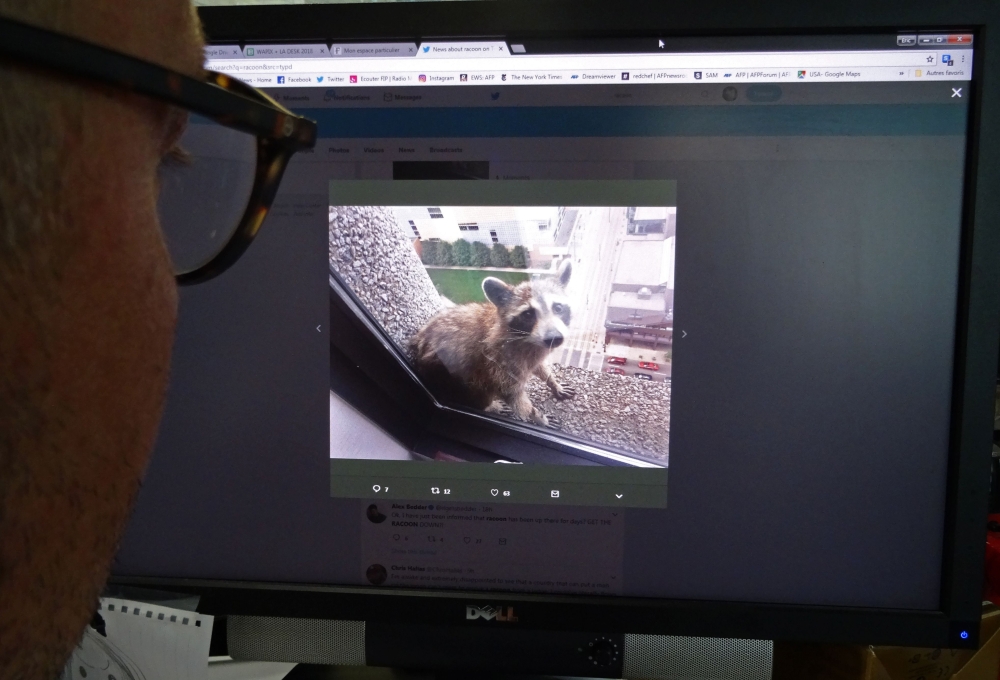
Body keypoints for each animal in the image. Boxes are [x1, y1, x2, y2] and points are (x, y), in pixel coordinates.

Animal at [408, 258, 580, 428]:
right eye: (528, 314)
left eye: (558, 307)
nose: (554, 338)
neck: (527, 339)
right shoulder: (499, 360)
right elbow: (512, 395)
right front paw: (538, 416)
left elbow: (539, 366)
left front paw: (552, 381)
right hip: (448, 376)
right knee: (478, 387)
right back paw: (489, 406)